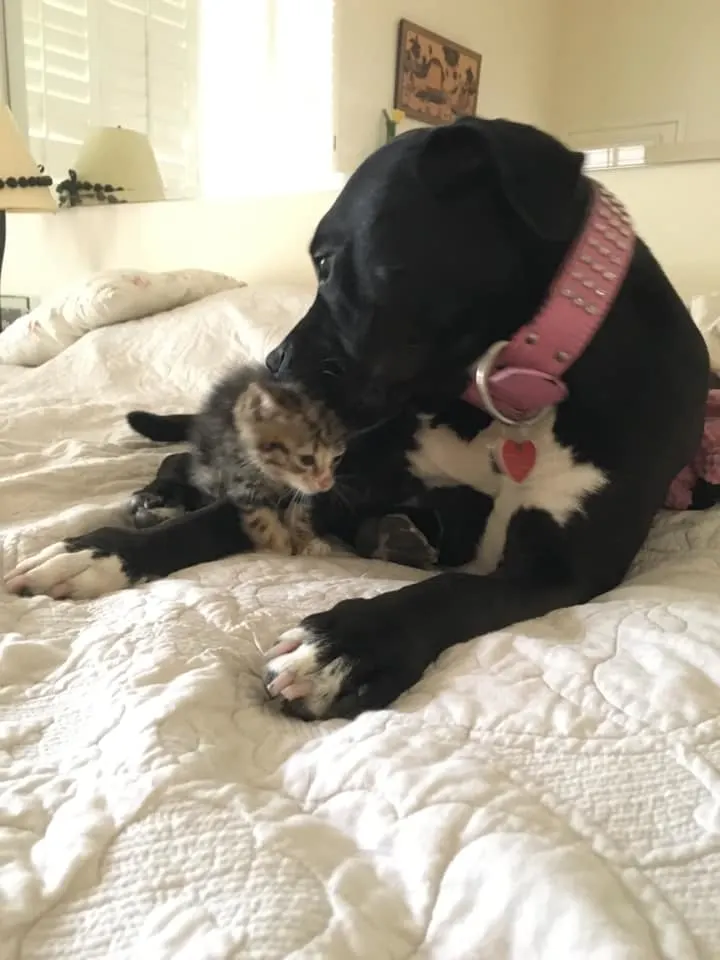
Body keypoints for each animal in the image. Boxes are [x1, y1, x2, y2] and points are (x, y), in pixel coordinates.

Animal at [127, 366, 346, 556]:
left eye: (336, 459)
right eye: (306, 459)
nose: (327, 484)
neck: (275, 476)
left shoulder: (302, 489)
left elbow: (300, 509)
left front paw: (307, 541)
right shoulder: (239, 478)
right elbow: (259, 516)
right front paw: (279, 545)